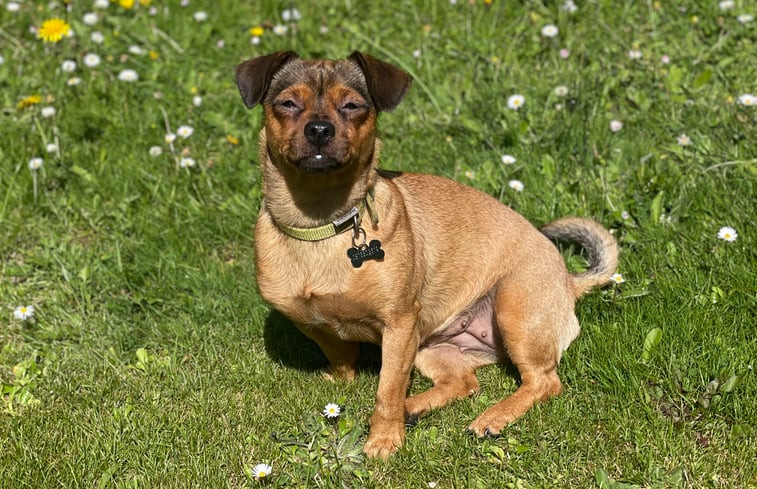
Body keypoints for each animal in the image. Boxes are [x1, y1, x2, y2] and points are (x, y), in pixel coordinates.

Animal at [236, 51, 620, 460]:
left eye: (352, 106)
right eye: (288, 104)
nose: (320, 130)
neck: (322, 224)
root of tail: (569, 282)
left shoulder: (400, 325)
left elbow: (387, 388)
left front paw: (384, 439)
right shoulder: (311, 322)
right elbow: (341, 355)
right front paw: (342, 382)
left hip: (513, 310)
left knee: (543, 381)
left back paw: (492, 418)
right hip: (431, 348)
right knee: (465, 383)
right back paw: (415, 407)